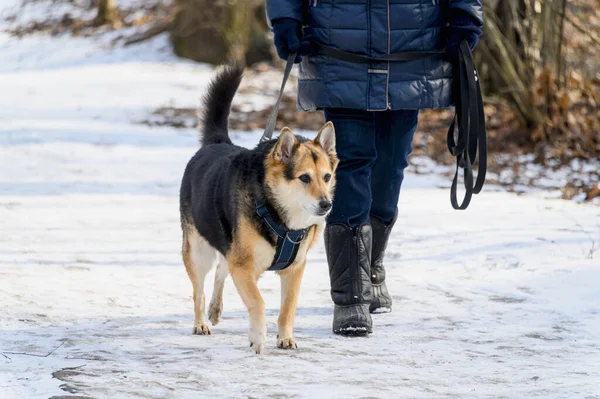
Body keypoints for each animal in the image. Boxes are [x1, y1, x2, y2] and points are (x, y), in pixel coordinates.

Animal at [178, 67, 338, 354]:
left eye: (327, 177)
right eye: (304, 178)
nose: (326, 204)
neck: (279, 213)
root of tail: (216, 142)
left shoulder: (295, 268)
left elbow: (288, 308)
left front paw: (285, 337)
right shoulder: (244, 267)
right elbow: (258, 302)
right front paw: (258, 337)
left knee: (221, 270)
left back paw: (215, 310)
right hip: (198, 250)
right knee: (199, 289)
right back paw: (201, 322)